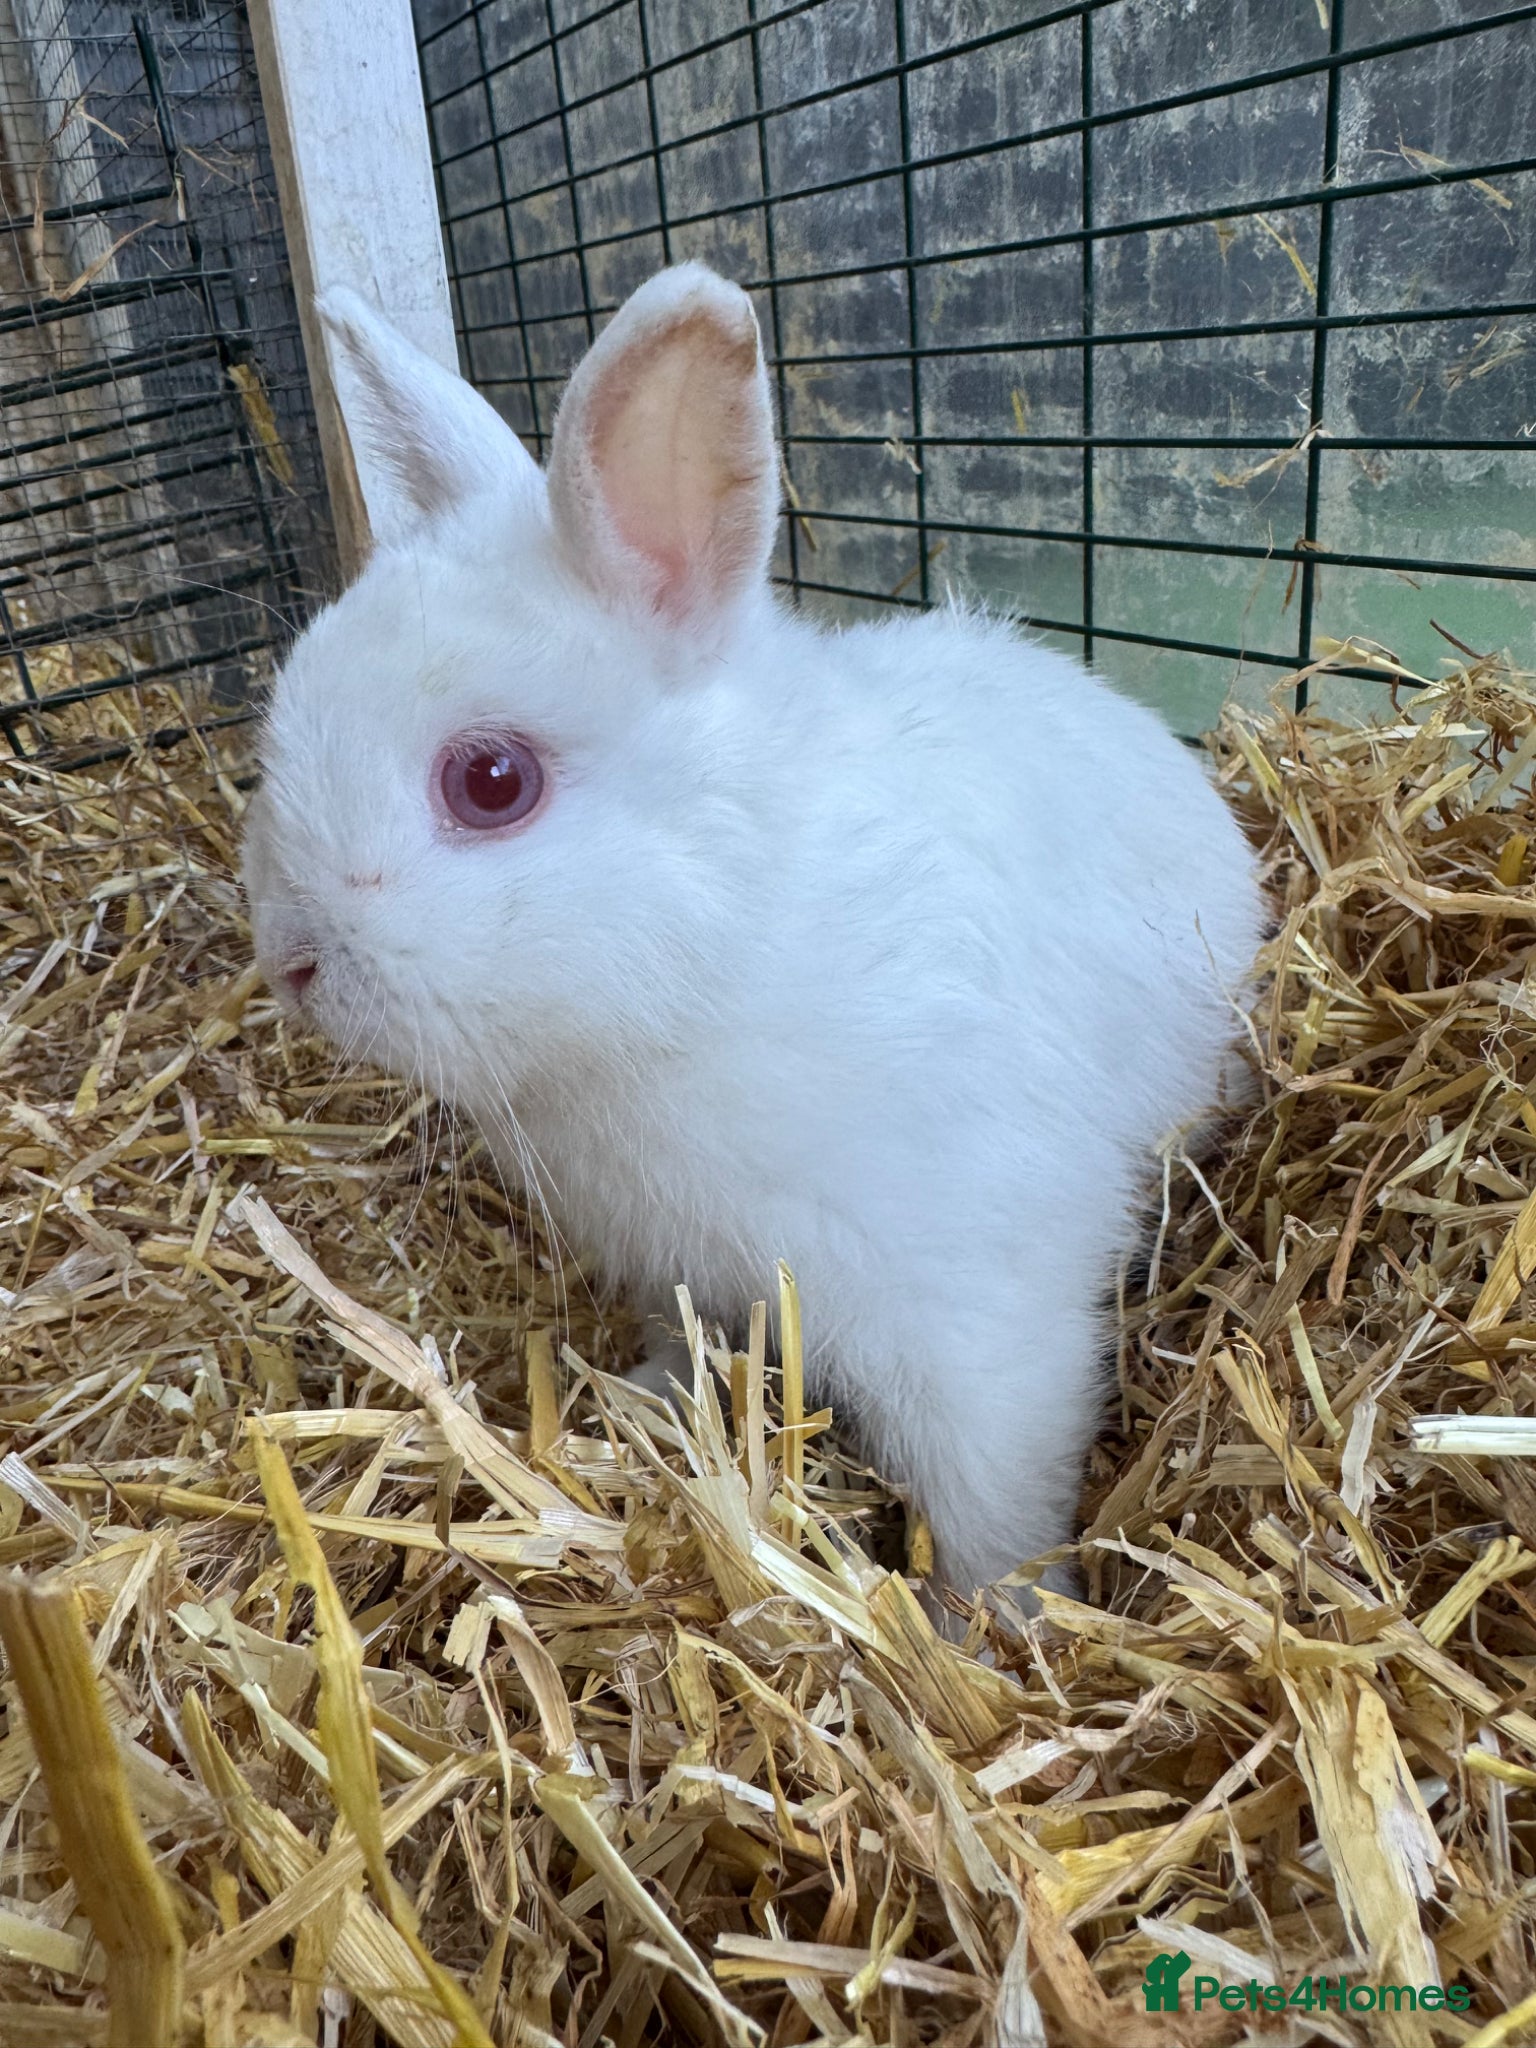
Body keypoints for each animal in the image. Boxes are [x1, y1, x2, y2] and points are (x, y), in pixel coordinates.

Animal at [242, 262, 1265, 1603]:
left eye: (493, 780)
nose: (293, 961)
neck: (729, 952)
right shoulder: (693, 1275)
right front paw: (637, 1400)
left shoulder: (980, 1318)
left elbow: (998, 1499)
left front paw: (999, 1618)